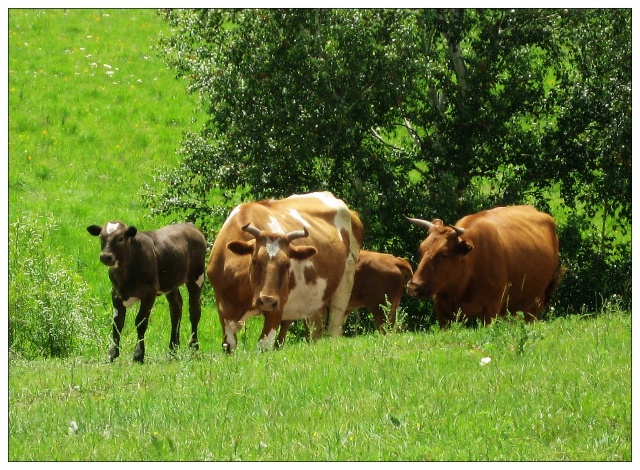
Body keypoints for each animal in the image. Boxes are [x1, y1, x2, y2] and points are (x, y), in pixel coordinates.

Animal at [86, 221, 206, 364]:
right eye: (101, 237)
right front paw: (112, 354)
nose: (105, 256)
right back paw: (173, 349)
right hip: (171, 284)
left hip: (197, 278)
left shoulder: (149, 293)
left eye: (121, 238)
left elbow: (141, 322)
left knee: (194, 311)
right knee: (176, 309)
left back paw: (193, 347)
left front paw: (138, 354)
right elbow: (117, 323)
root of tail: (190, 226)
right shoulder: (116, 294)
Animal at [208, 192, 362, 352]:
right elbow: (229, 345)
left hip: (345, 282)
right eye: (255, 261)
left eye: (287, 264)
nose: (267, 301)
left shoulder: (277, 307)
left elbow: (263, 346)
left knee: (334, 327)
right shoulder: (223, 311)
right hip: (314, 300)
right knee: (316, 329)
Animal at [408, 204, 564, 328]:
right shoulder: (442, 311)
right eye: (421, 249)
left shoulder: (491, 311)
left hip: (535, 304)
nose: (414, 286)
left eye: (445, 254)